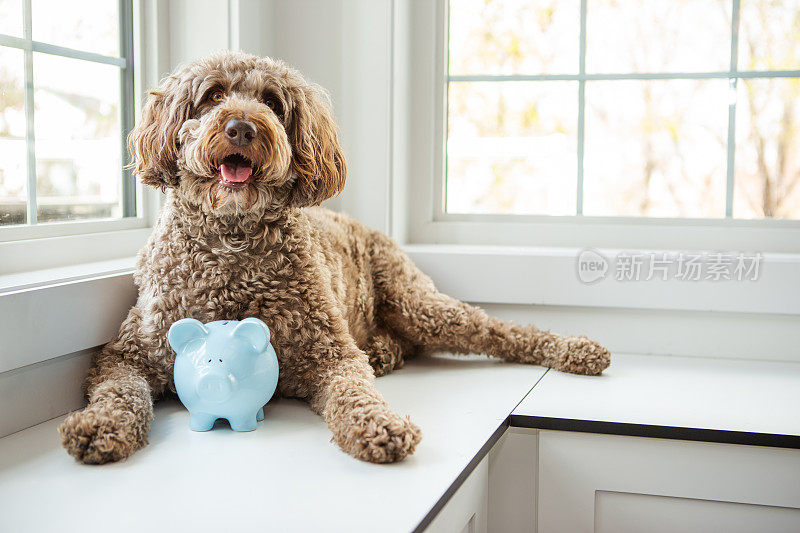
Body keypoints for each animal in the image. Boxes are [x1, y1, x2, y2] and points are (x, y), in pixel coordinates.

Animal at [57, 52, 612, 464]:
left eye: (272, 102)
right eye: (212, 95)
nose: (242, 127)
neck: (233, 248)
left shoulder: (331, 354)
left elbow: (354, 392)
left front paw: (380, 425)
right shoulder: (128, 352)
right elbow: (118, 391)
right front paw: (99, 426)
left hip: (419, 303)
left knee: (501, 331)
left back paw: (574, 348)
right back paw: (385, 351)